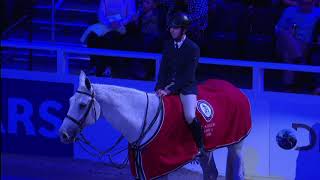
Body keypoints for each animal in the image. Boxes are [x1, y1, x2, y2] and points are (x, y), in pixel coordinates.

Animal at [59, 71, 245, 179]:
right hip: (207, 151)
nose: (63, 134)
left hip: (236, 146)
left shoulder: (160, 169)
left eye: (82, 105)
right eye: (70, 101)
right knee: (211, 173)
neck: (142, 118)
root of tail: (234, 89)